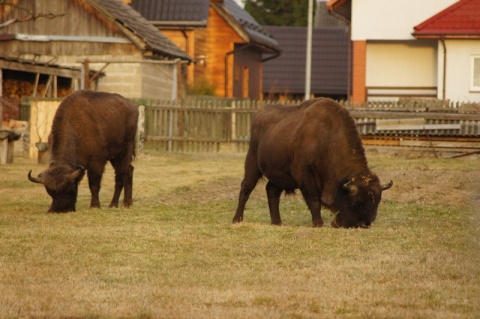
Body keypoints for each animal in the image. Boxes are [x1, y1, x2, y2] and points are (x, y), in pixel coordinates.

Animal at [232, 99, 394, 229]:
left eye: (377, 202)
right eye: (356, 201)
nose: (363, 224)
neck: (327, 139)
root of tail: (258, 113)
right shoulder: (305, 176)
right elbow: (314, 200)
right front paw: (319, 223)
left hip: (279, 175)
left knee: (271, 191)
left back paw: (277, 222)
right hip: (252, 163)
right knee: (246, 188)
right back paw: (237, 219)